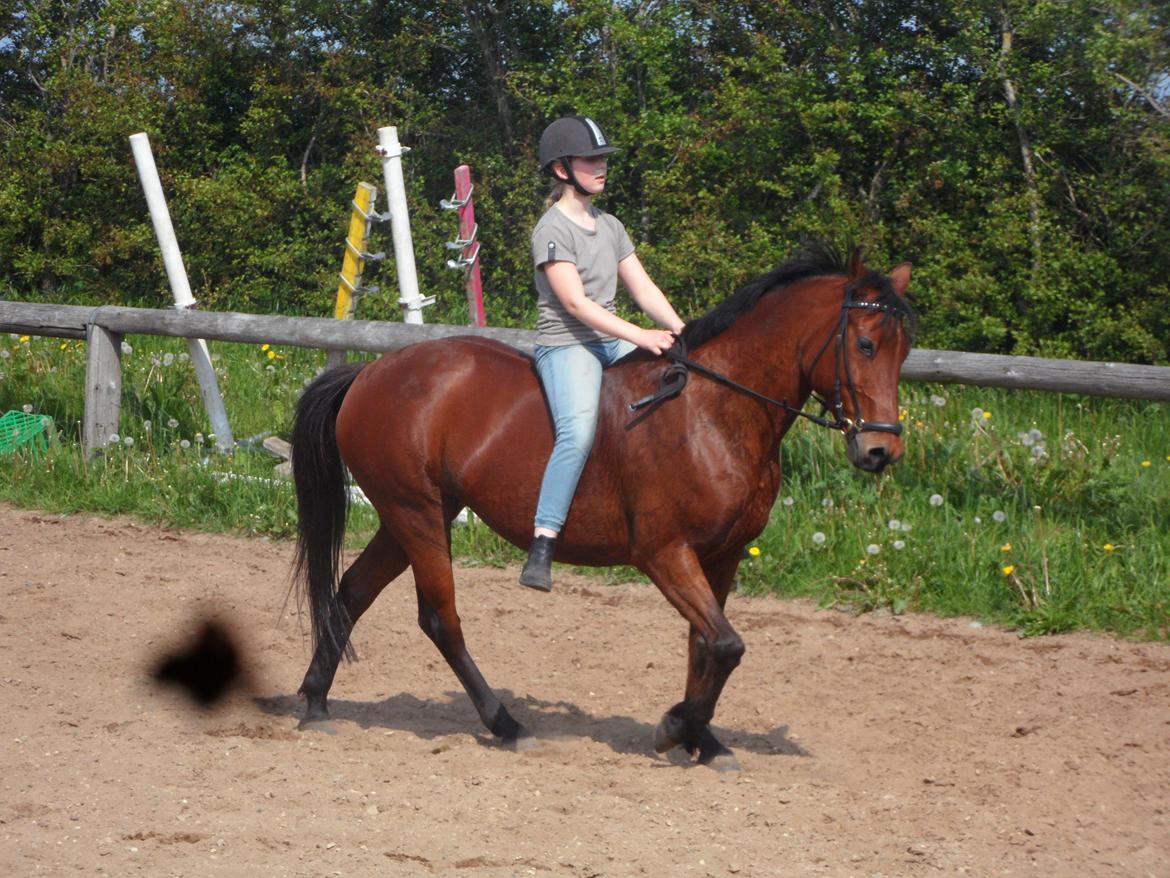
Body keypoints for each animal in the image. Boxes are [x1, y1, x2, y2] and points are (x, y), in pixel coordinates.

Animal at [290, 245, 915, 768]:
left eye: (904, 350)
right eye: (864, 345)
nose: (880, 450)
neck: (713, 412)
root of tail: (371, 371)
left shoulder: (723, 555)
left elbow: (706, 646)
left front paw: (704, 741)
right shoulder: (665, 553)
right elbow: (727, 644)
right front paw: (675, 728)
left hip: (418, 514)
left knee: (353, 591)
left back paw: (316, 703)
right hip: (415, 512)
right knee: (439, 618)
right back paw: (506, 724)